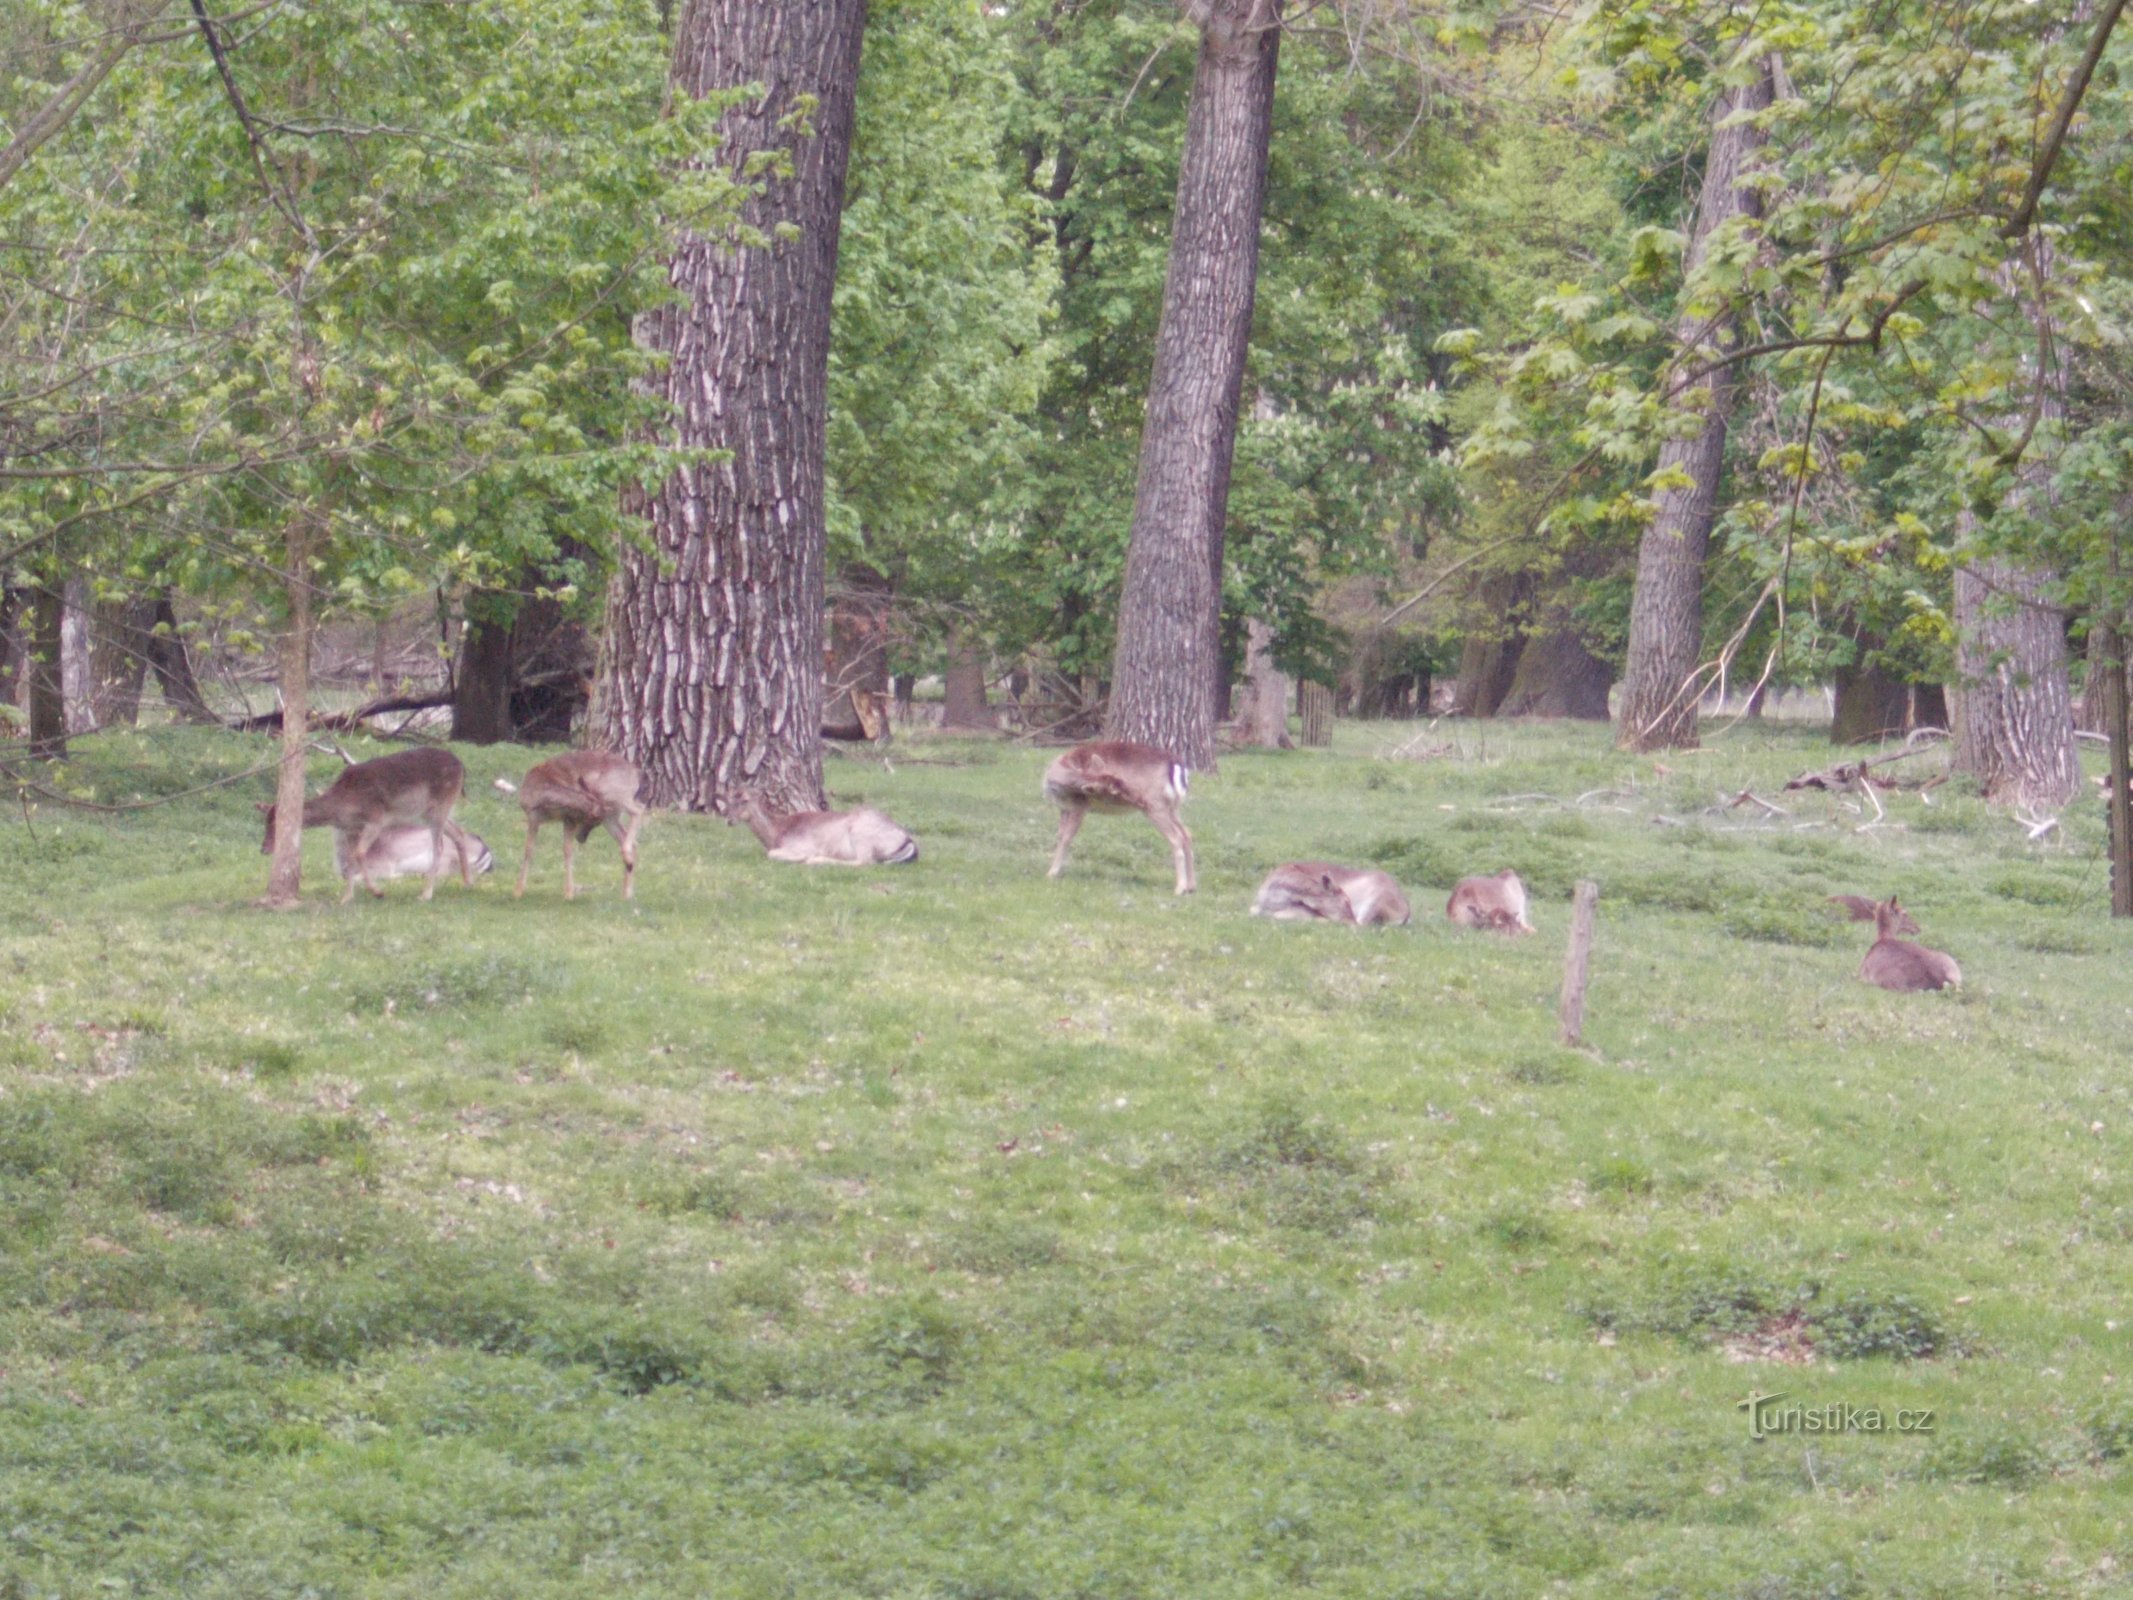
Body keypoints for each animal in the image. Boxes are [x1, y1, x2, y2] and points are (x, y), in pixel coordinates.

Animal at [499, 750, 648, 904]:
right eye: (591, 819)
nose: (581, 837)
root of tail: (635, 772)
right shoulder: (536, 817)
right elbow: (531, 850)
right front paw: (518, 891)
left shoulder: (567, 818)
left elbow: (567, 851)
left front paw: (569, 893)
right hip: (611, 814)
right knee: (630, 839)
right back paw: (626, 893)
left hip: (614, 794)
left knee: (639, 809)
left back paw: (627, 861)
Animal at [733, 789, 917, 866]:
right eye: (730, 798)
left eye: (745, 800)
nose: (729, 818)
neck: (777, 832)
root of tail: (908, 839)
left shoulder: (802, 846)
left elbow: (771, 854)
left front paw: (805, 858)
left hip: (861, 834)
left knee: (865, 862)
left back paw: (817, 860)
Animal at [1040, 742, 1194, 896]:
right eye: (1115, 792)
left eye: (1121, 781)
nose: (1137, 798)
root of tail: (1178, 766)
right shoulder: (1064, 808)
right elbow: (1060, 835)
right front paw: (1057, 871)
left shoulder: (1080, 806)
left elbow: (1067, 837)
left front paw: (1051, 873)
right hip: (1172, 807)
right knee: (1186, 833)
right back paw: (1191, 886)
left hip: (1156, 806)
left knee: (1176, 837)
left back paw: (1179, 888)